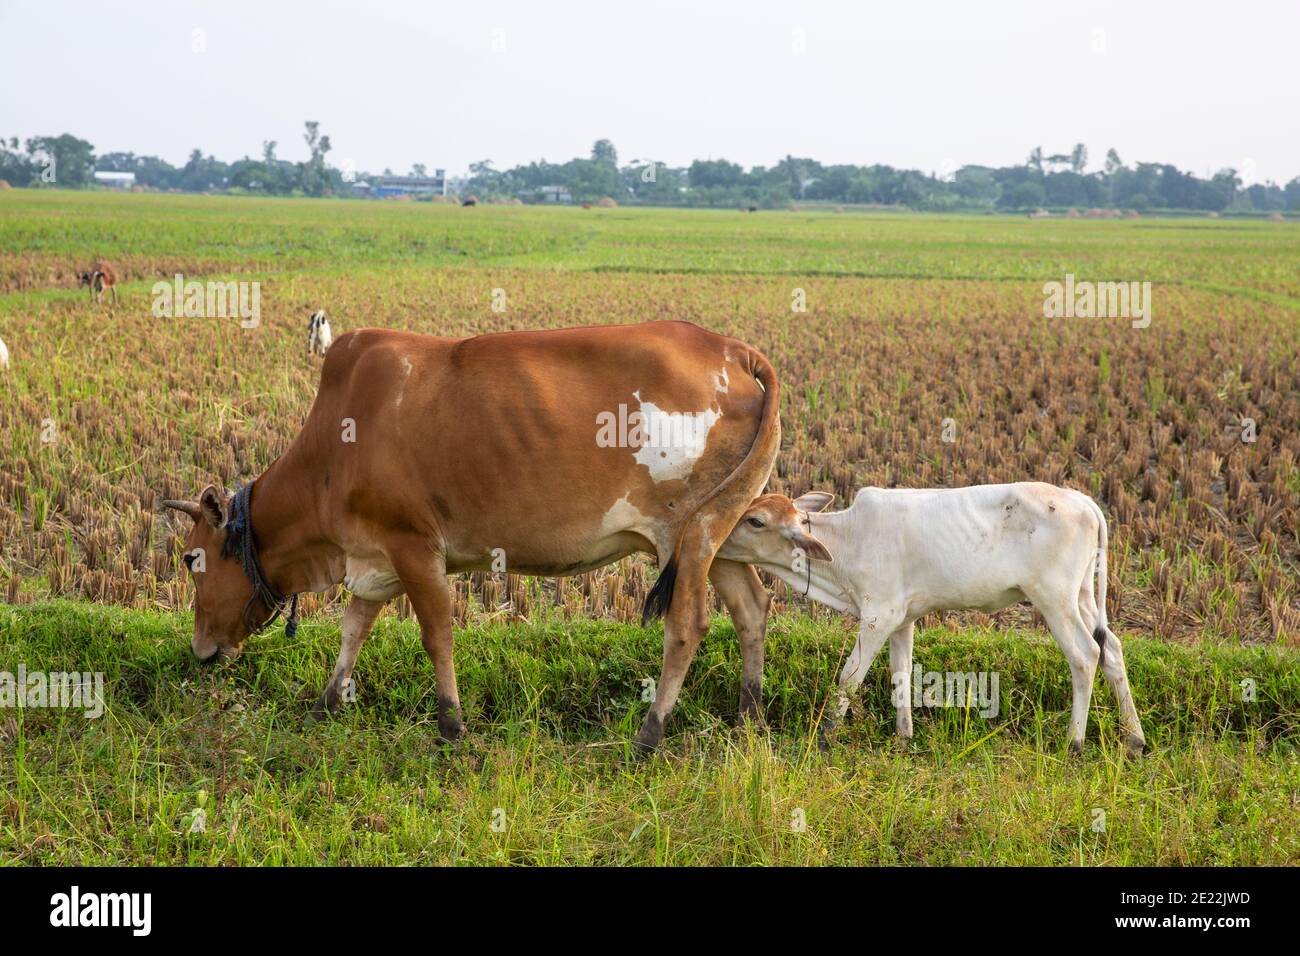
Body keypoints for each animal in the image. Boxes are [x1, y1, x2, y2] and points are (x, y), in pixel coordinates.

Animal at [161, 321, 781, 753]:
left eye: (192, 558)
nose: (200, 651)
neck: (333, 449)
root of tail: (731, 350)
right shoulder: (373, 558)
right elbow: (353, 629)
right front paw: (326, 703)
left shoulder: (414, 547)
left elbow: (436, 635)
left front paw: (451, 727)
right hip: (718, 531)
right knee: (752, 608)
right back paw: (749, 717)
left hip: (685, 535)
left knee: (687, 625)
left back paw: (650, 734)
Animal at [717, 483, 1146, 756]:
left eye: (755, 521)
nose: (715, 535)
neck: (849, 541)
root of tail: (1082, 501)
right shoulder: (901, 620)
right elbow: (901, 674)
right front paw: (903, 740)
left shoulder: (878, 615)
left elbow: (850, 678)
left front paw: (825, 738)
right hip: (1083, 596)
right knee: (1112, 651)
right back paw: (1135, 740)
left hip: (1055, 599)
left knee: (1086, 656)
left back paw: (1075, 744)